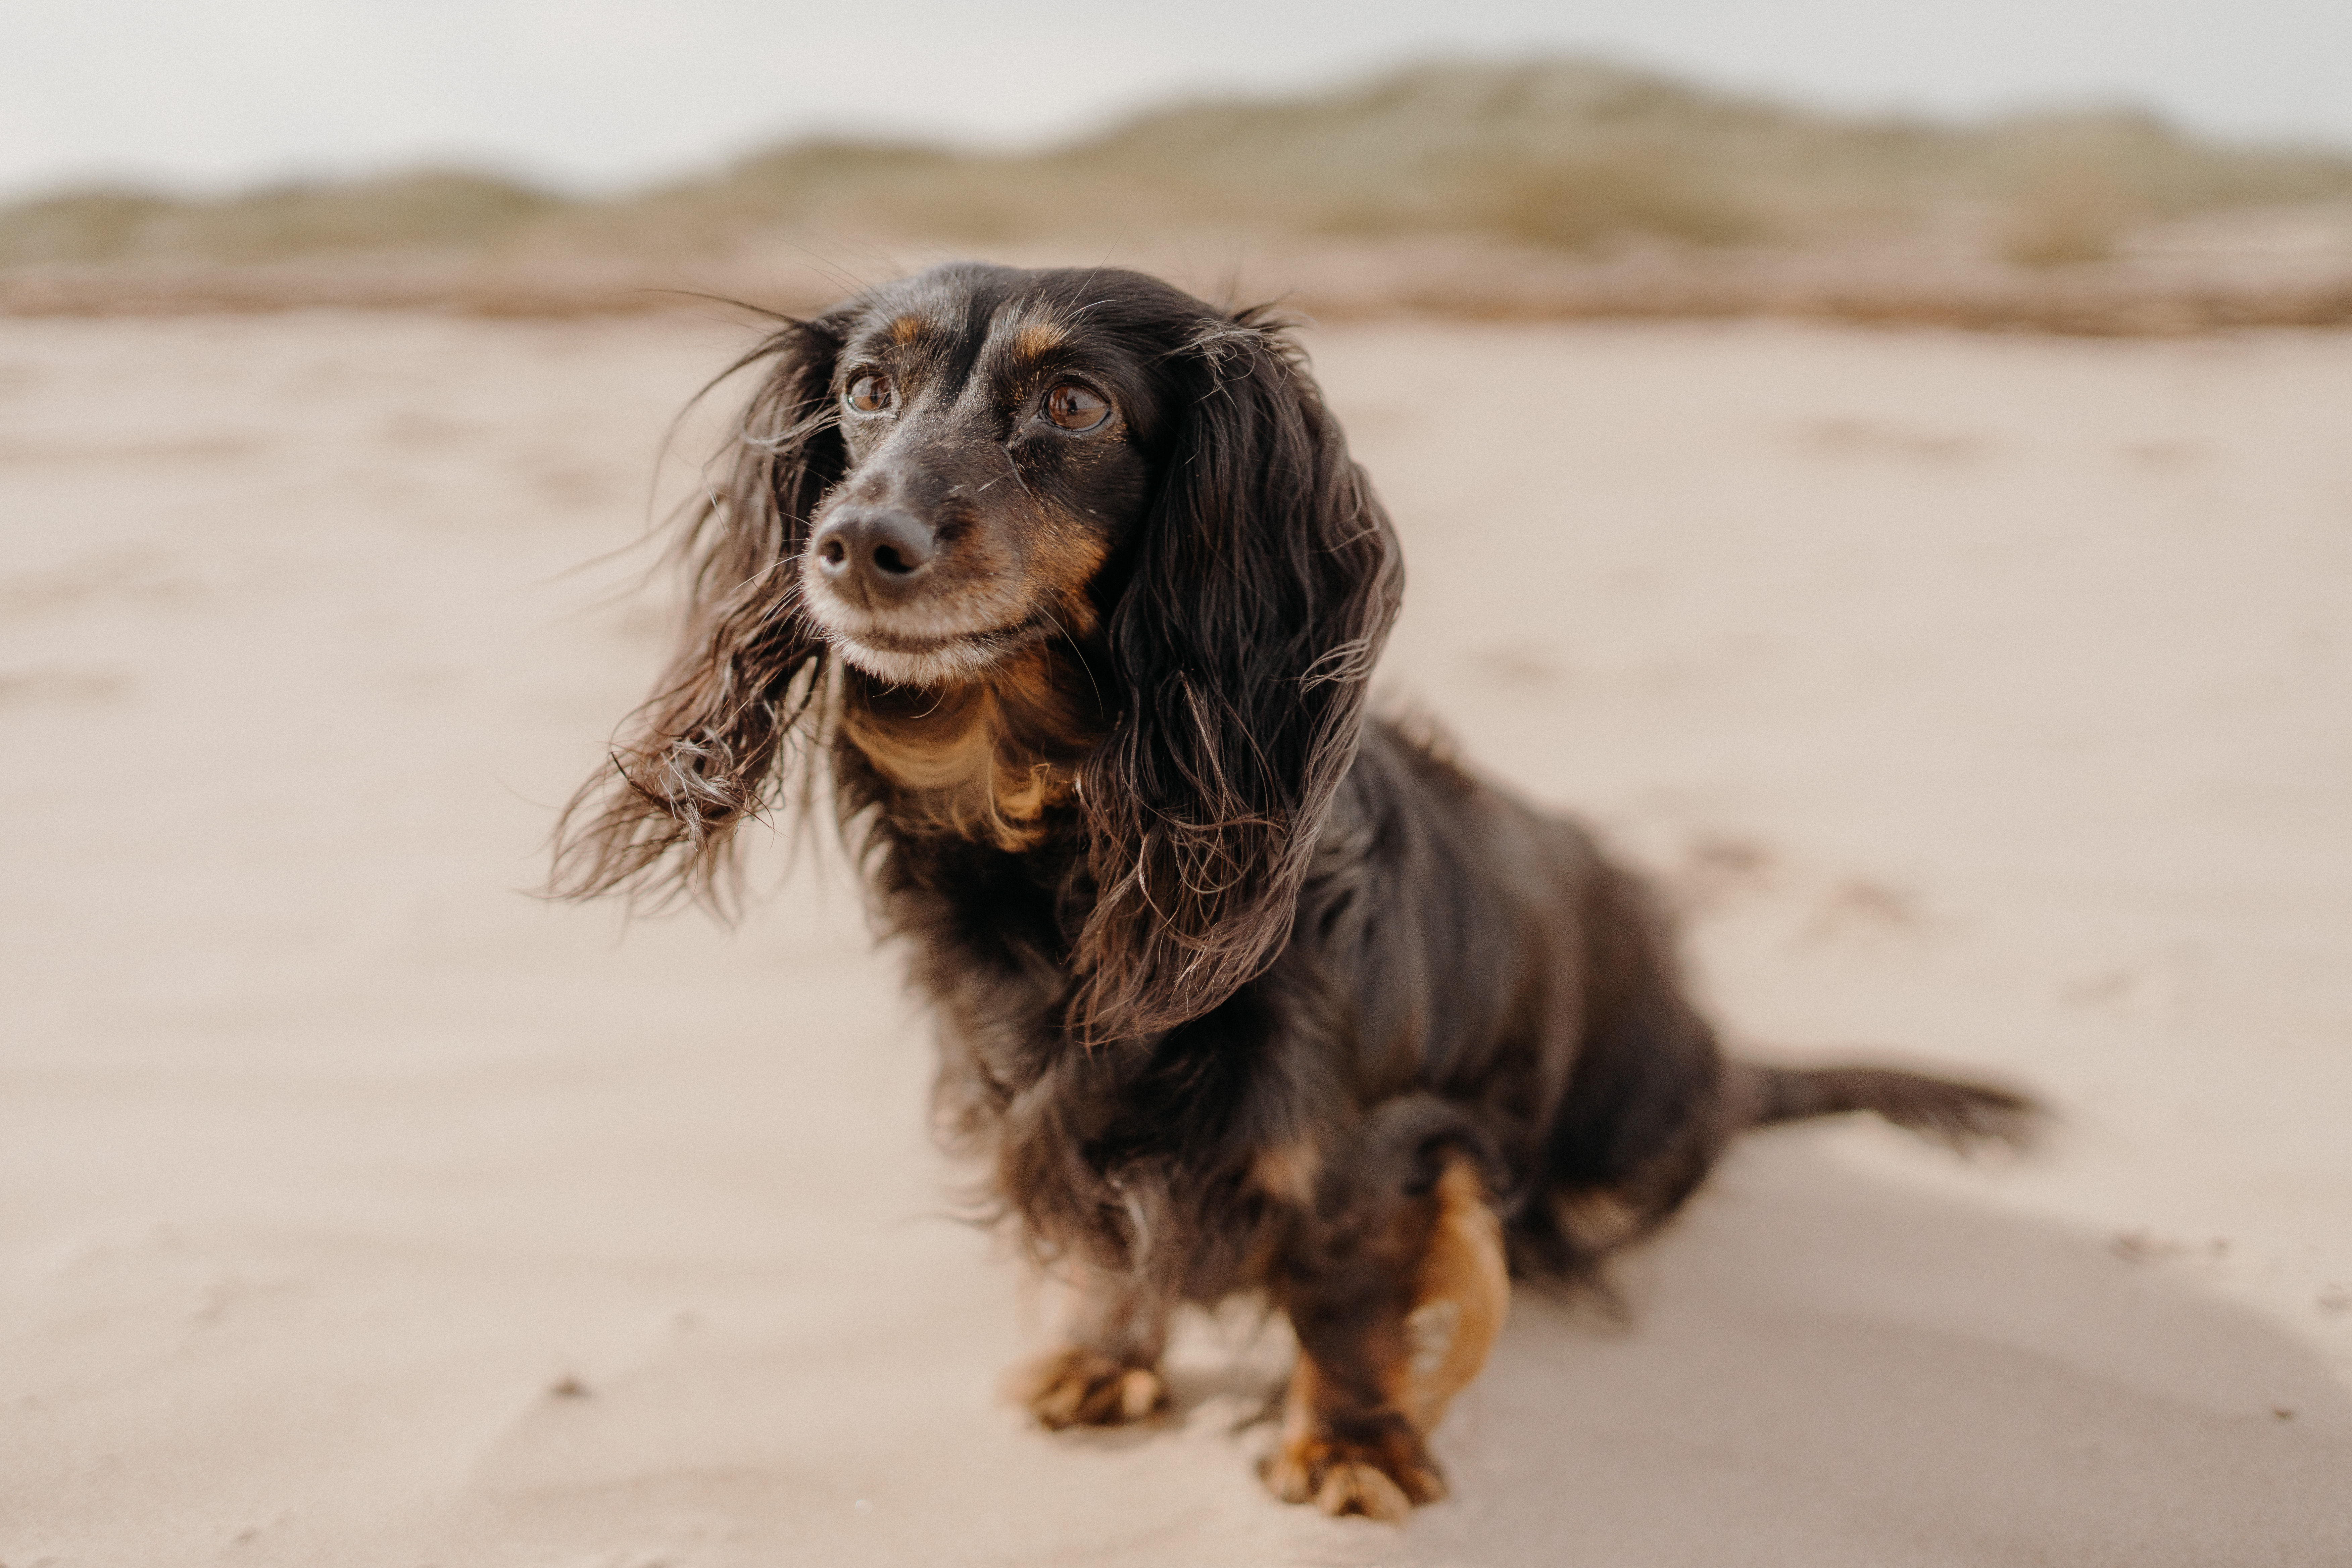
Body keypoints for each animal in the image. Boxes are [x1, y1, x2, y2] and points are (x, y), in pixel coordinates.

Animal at [545, 267, 2022, 1523]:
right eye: (865, 389)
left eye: (1076, 403)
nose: (856, 545)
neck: (1070, 844)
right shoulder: (1033, 1094)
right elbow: (1104, 1239)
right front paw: (1100, 1355)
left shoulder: (1374, 1139)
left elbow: (1344, 1288)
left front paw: (1352, 1443)